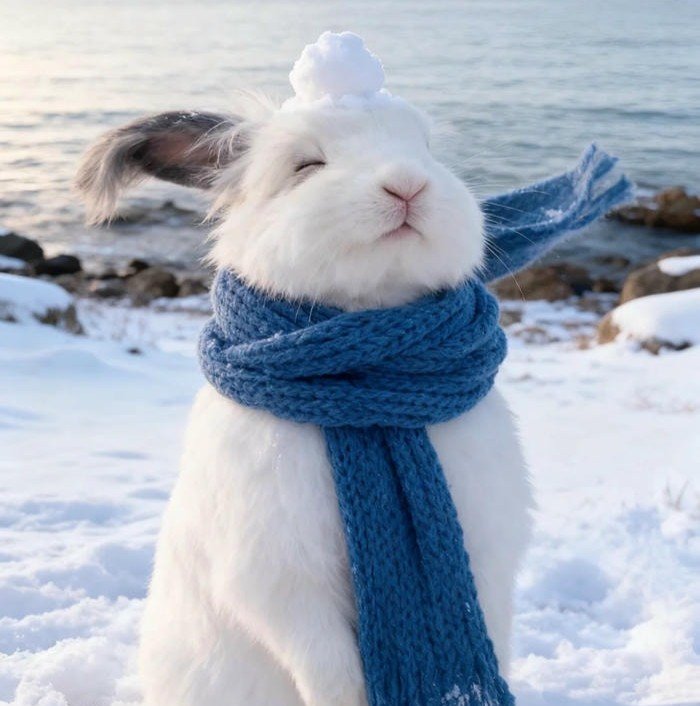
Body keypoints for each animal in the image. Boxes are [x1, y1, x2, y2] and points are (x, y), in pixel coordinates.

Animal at [76, 91, 533, 706]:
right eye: (306, 165)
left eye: (424, 148)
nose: (408, 185)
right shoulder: (281, 580)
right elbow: (332, 670)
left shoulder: (484, 555)